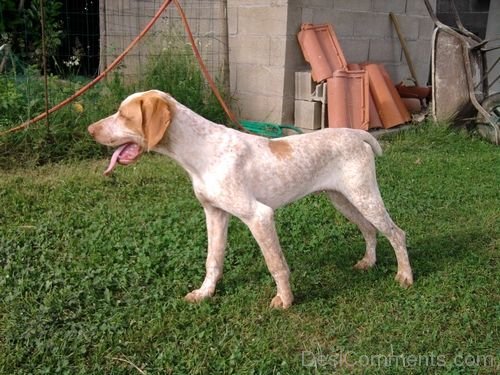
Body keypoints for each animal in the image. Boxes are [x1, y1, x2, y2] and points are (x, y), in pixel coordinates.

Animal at [87, 90, 414, 308]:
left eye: (124, 115)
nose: (89, 129)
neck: (201, 153)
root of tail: (358, 134)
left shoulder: (259, 216)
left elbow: (276, 264)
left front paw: (285, 300)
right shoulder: (214, 214)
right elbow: (213, 260)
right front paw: (205, 293)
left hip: (364, 196)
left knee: (396, 233)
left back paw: (405, 276)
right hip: (343, 199)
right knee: (370, 230)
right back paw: (368, 262)